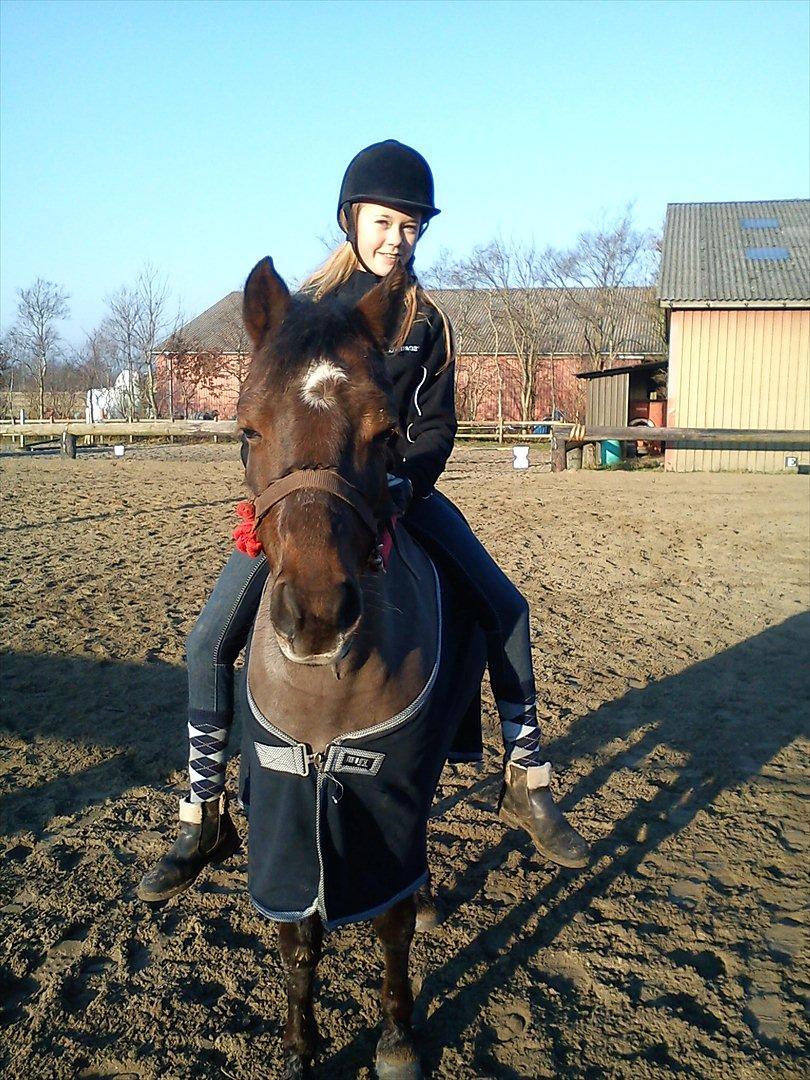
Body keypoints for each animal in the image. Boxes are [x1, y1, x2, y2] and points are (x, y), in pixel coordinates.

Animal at [235, 256, 485, 1079]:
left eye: (386, 435)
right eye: (247, 429)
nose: (315, 615)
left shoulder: (389, 790)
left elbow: (391, 922)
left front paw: (398, 1034)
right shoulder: (285, 801)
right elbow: (297, 937)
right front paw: (301, 1044)